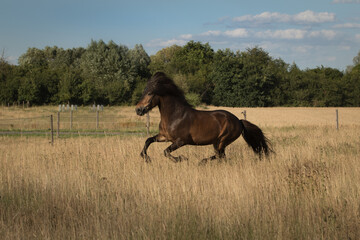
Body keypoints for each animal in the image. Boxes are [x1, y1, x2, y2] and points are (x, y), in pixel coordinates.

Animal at [136, 71, 272, 165]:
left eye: (150, 93)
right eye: (144, 92)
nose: (138, 110)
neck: (174, 116)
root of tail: (238, 121)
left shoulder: (181, 141)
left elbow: (166, 151)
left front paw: (181, 159)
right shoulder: (164, 137)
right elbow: (148, 140)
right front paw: (146, 158)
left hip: (221, 141)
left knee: (220, 155)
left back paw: (201, 162)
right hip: (218, 142)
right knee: (221, 156)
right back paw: (203, 162)